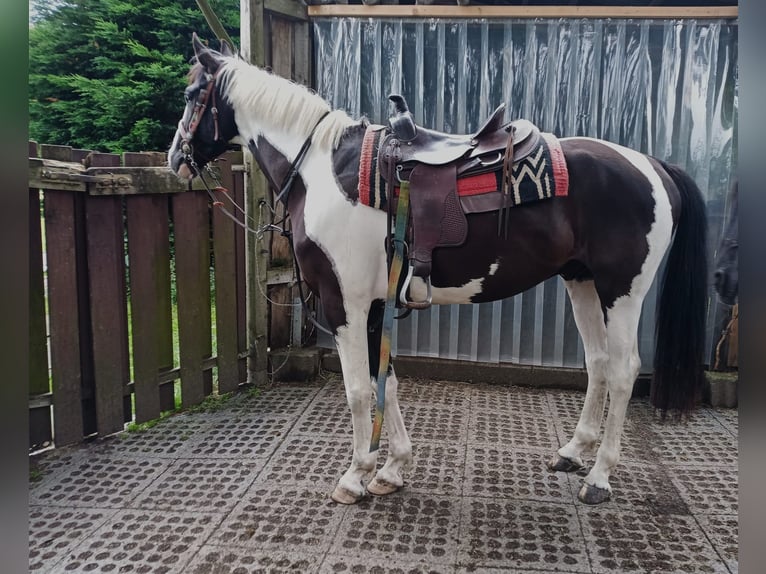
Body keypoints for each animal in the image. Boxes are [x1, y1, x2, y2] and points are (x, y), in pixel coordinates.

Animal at [168, 35, 708, 506]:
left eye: (193, 94)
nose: (176, 158)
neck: (321, 168)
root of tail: (653, 165)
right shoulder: (376, 305)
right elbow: (387, 382)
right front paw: (390, 469)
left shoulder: (346, 304)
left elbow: (359, 390)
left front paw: (355, 475)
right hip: (584, 284)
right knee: (597, 363)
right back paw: (573, 453)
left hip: (623, 291)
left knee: (624, 369)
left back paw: (598, 478)